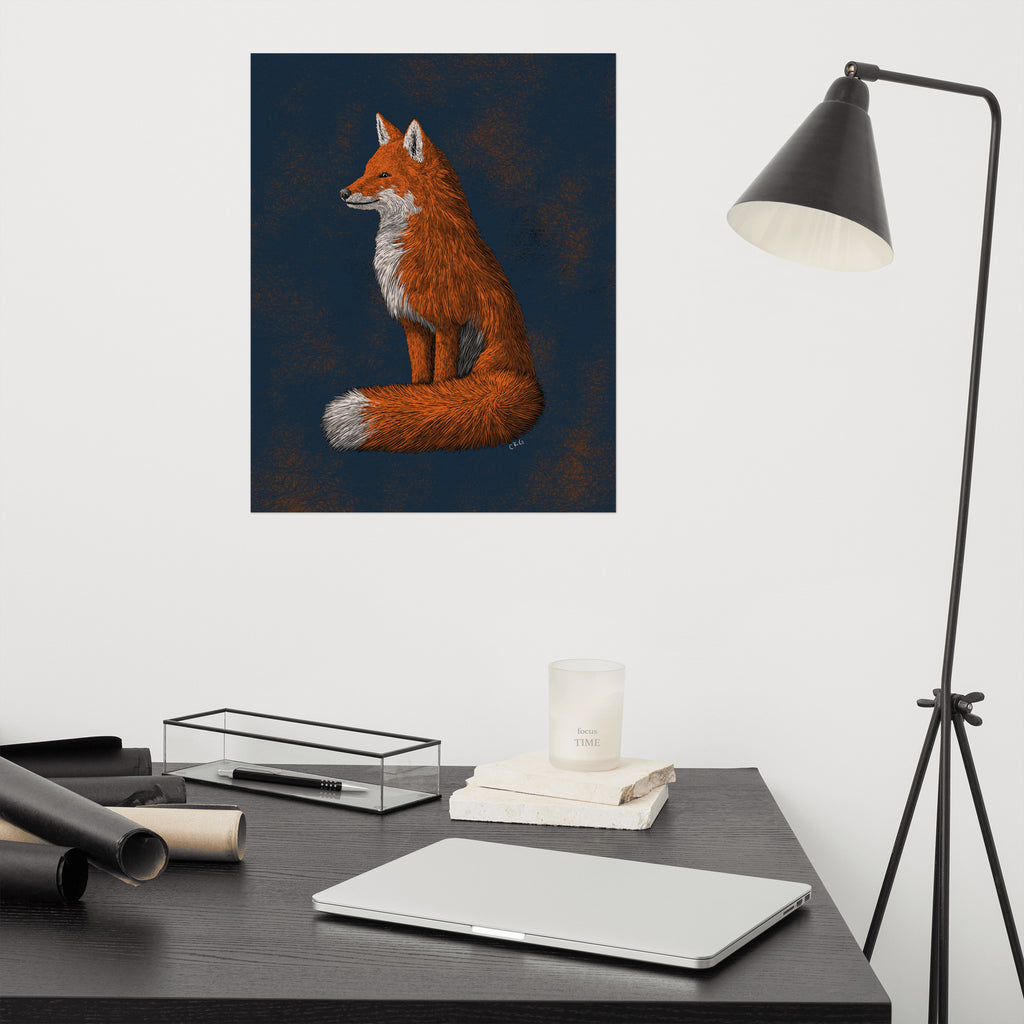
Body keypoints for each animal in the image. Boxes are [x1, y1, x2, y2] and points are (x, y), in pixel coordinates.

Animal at [323, 114, 544, 452]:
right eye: (366, 169)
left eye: (383, 174)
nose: (343, 193)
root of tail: (523, 372)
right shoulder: (413, 324)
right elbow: (420, 380)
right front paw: (415, 401)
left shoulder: (447, 324)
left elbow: (440, 381)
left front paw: (431, 404)